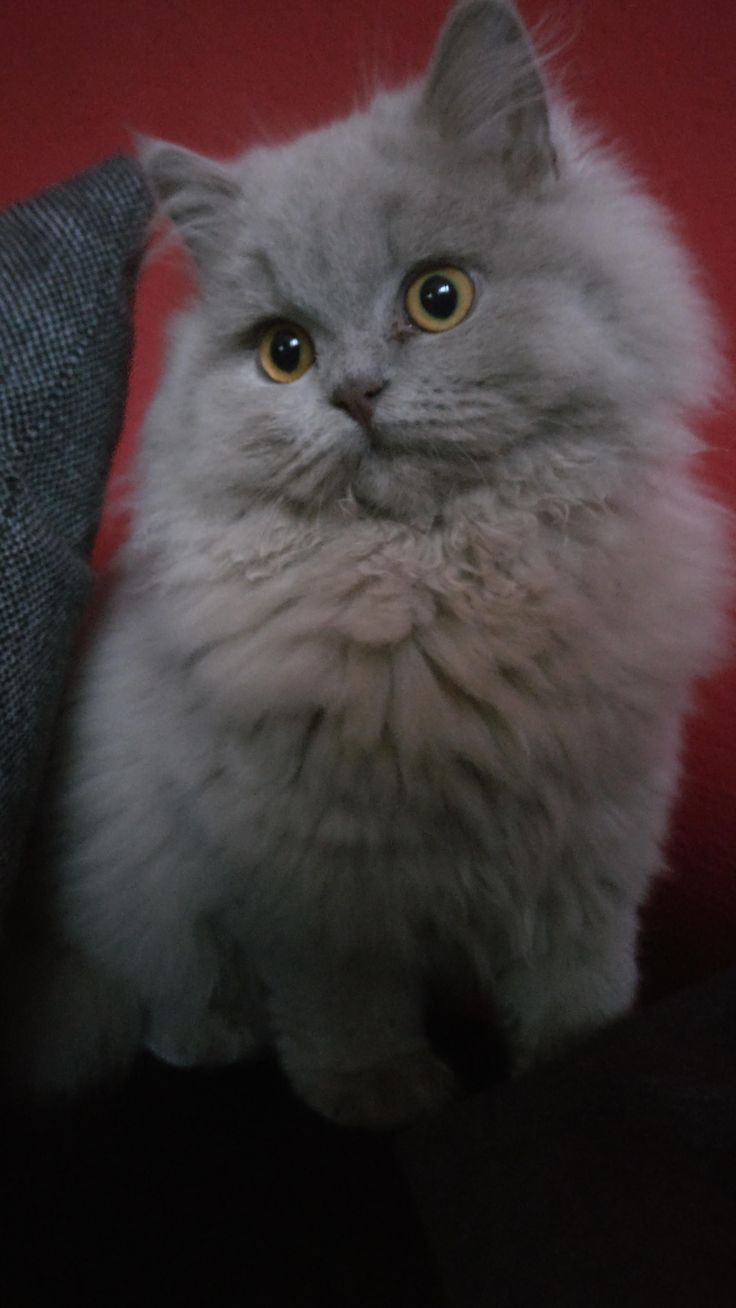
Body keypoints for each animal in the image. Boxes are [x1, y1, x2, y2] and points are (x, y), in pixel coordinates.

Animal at [11, 0, 732, 1124]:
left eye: (439, 298)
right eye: (285, 352)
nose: (353, 392)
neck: (438, 584)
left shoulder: (596, 824)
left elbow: (577, 969)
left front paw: (572, 1057)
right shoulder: (308, 867)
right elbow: (342, 995)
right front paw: (379, 1091)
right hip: (141, 882)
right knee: (159, 996)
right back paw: (216, 1038)